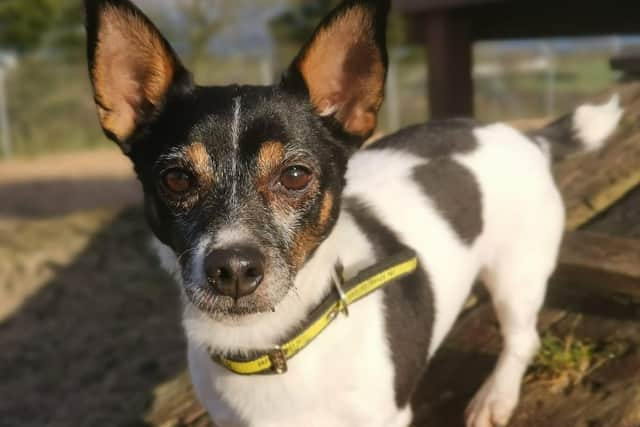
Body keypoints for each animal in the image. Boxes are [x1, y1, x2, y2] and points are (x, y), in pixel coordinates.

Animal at [82, 0, 624, 426]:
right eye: (176, 179)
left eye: (295, 175)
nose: (232, 269)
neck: (275, 344)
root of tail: (528, 136)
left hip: (518, 275)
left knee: (521, 339)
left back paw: (496, 397)